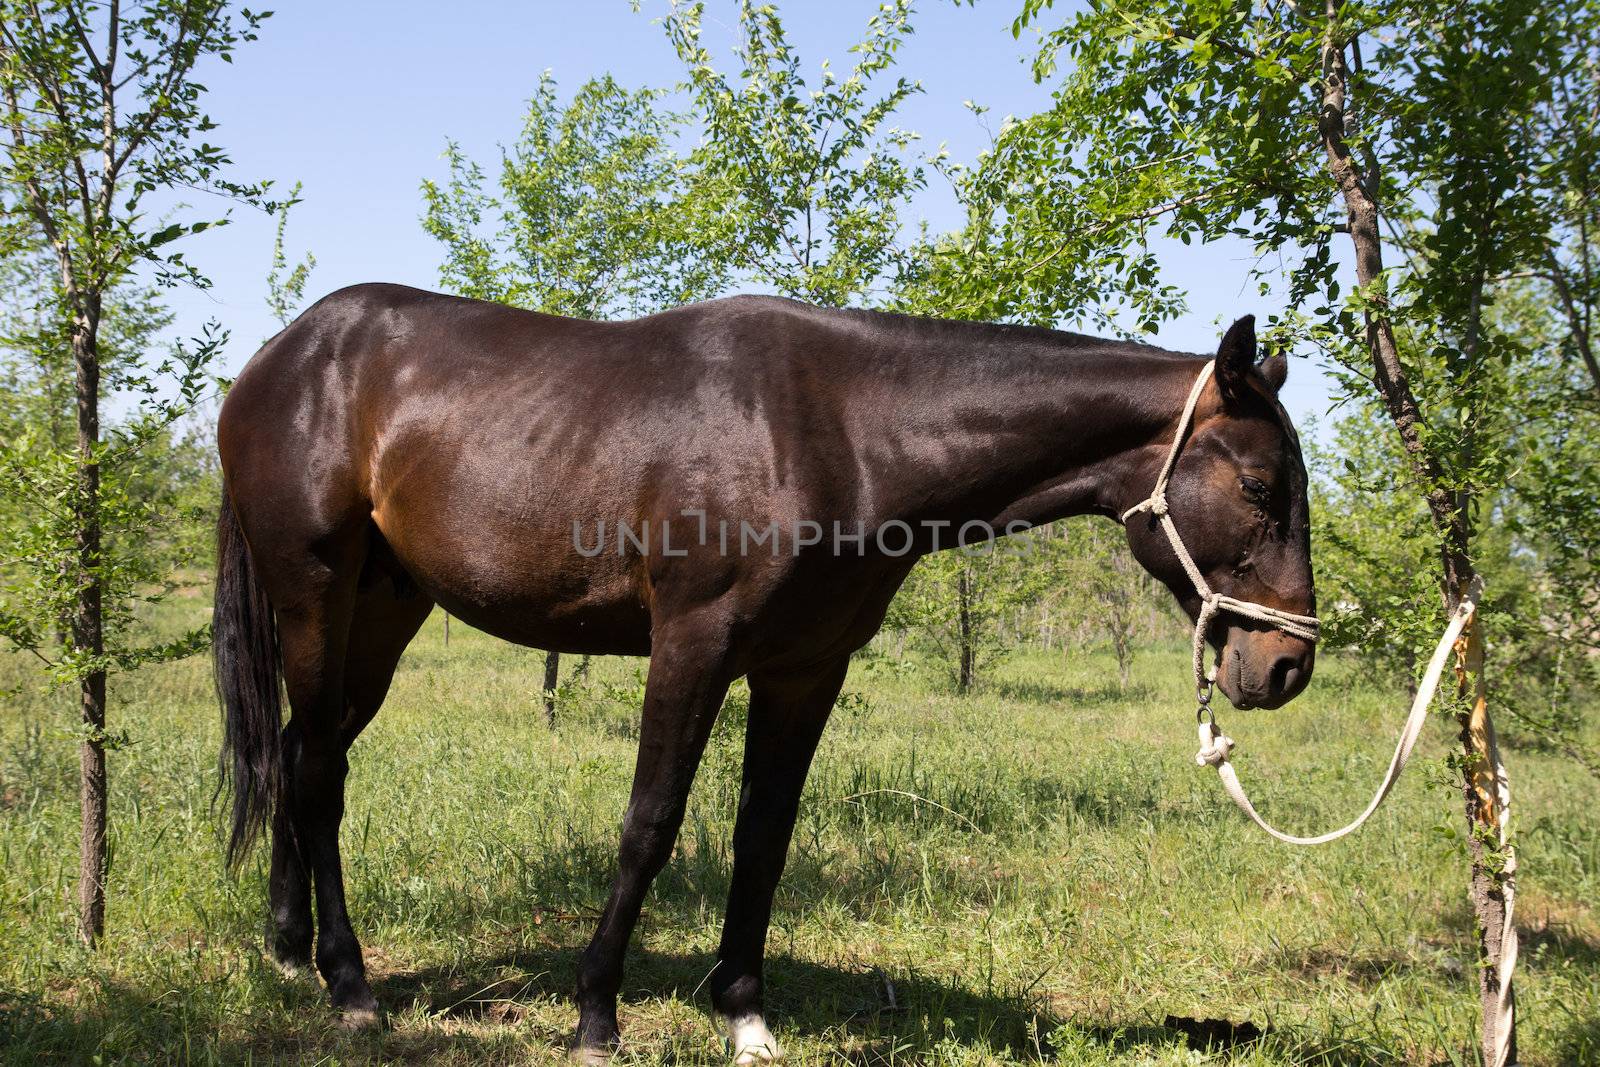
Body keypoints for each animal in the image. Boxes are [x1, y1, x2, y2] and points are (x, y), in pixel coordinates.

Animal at [209, 281, 1312, 1062]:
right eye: (1261, 485)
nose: (1288, 663)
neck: (844, 429)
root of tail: (282, 354)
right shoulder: (693, 646)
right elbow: (650, 824)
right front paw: (595, 1013)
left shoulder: (803, 669)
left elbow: (763, 835)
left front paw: (743, 1012)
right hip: (315, 592)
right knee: (318, 773)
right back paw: (351, 986)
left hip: (384, 612)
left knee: (303, 755)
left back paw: (289, 947)